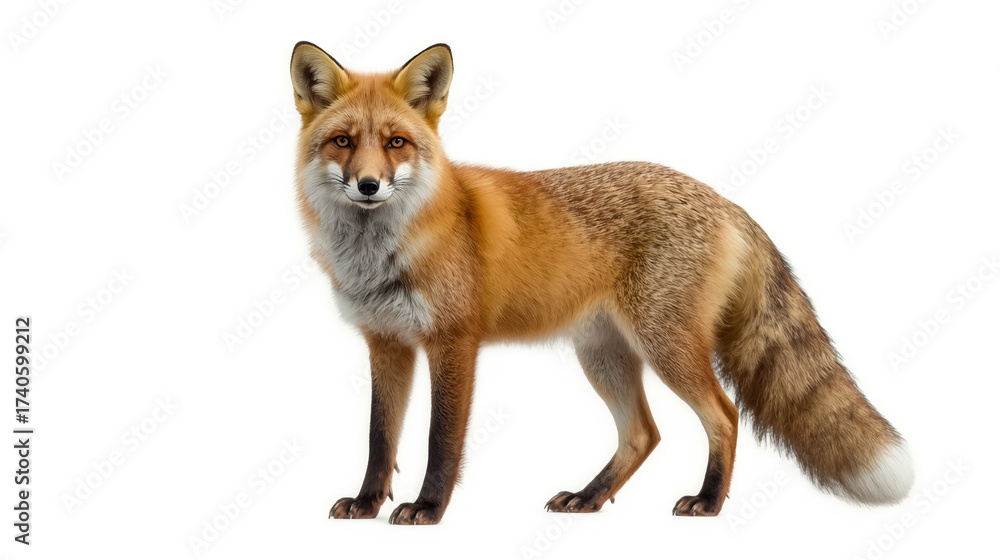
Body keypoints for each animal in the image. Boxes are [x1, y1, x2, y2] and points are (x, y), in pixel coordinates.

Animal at [289, 41, 914, 525]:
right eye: (343, 141)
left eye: (396, 143)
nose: (369, 185)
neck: (383, 254)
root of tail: (725, 200)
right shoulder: (387, 342)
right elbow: (380, 438)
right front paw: (367, 504)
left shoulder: (453, 342)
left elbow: (440, 440)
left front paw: (428, 509)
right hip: (603, 355)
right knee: (643, 434)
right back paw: (590, 498)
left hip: (665, 346)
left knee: (723, 415)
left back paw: (708, 502)